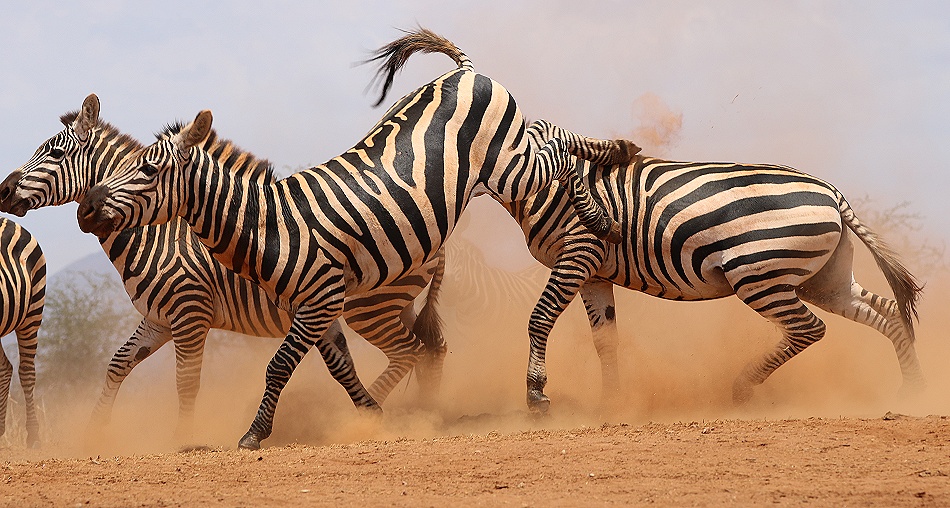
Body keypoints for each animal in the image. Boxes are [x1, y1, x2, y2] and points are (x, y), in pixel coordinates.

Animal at [0, 94, 448, 439]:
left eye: (55, 152)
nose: (3, 191)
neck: (159, 232)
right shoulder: (159, 319)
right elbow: (117, 366)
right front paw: (95, 433)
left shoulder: (190, 312)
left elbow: (186, 381)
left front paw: (184, 438)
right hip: (392, 305)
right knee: (428, 350)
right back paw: (423, 412)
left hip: (367, 307)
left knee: (410, 351)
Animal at [75, 28, 636, 449]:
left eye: (147, 170)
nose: (85, 210)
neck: (267, 223)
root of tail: (463, 71)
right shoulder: (315, 306)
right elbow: (341, 370)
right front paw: (370, 415)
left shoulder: (316, 299)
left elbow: (279, 366)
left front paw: (254, 434)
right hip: (501, 164)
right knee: (549, 135)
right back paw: (617, 157)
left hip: (509, 164)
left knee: (556, 148)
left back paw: (602, 205)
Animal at [377, 37, 925, 411]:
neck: (546, 187)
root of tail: (832, 192)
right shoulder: (594, 270)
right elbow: (606, 340)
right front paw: (613, 404)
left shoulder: (577, 254)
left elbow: (539, 318)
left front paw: (536, 395)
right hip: (821, 277)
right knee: (883, 312)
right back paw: (912, 389)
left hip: (761, 274)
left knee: (809, 329)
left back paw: (742, 387)